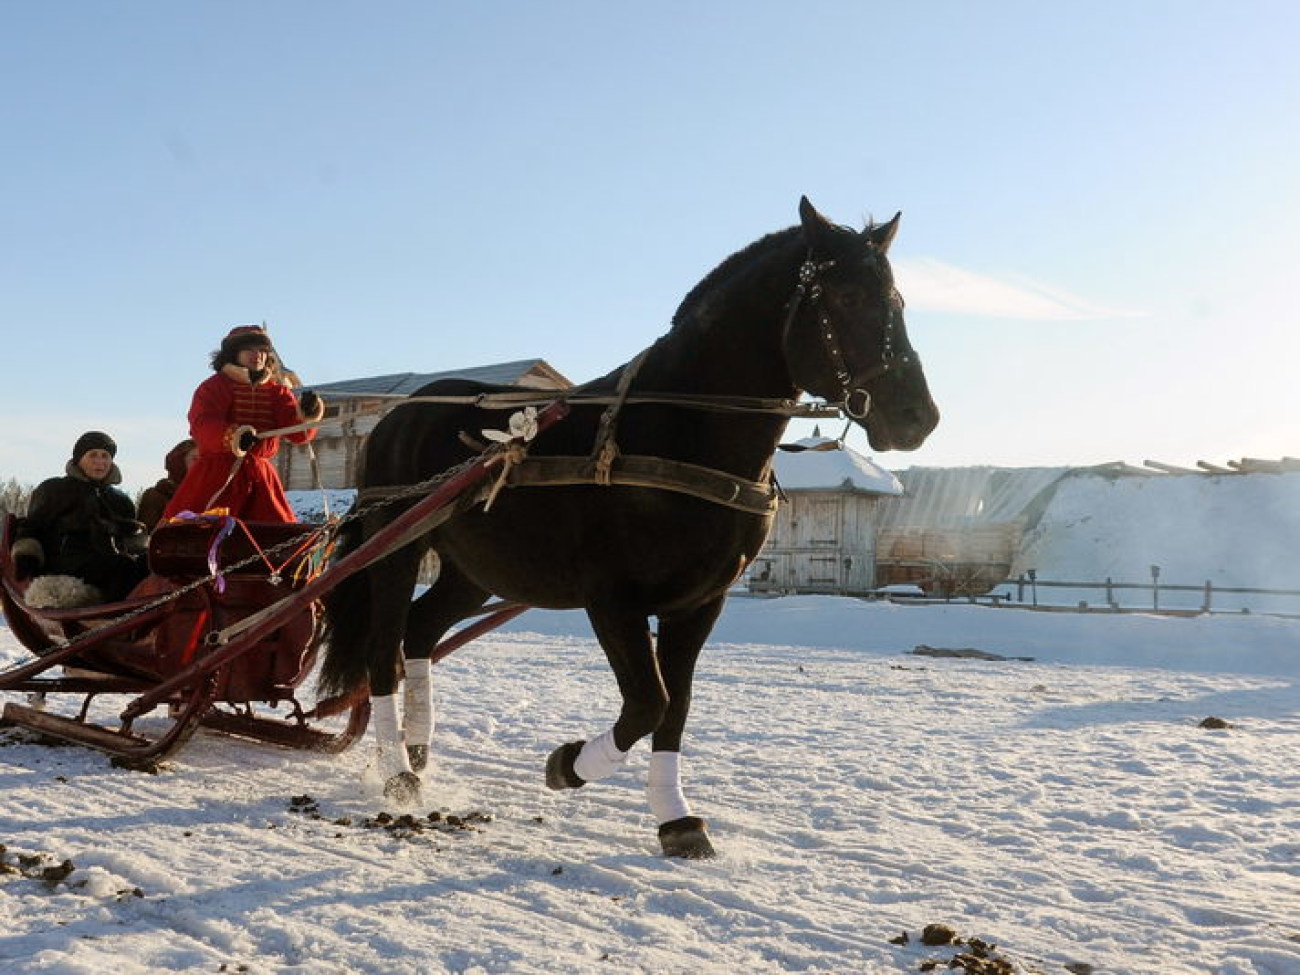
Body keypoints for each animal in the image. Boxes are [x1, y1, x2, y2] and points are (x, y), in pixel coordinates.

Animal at [322, 198, 935, 852]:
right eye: (847, 296)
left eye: (897, 299)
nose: (918, 416)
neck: (679, 429)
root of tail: (399, 417)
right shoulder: (613, 600)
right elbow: (648, 703)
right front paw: (568, 764)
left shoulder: (701, 602)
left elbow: (677, 706)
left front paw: (675, 817)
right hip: (396, 549)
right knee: (383, 651)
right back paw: (397, 771)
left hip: (475, 571)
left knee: (419, 631)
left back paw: (417, 746)